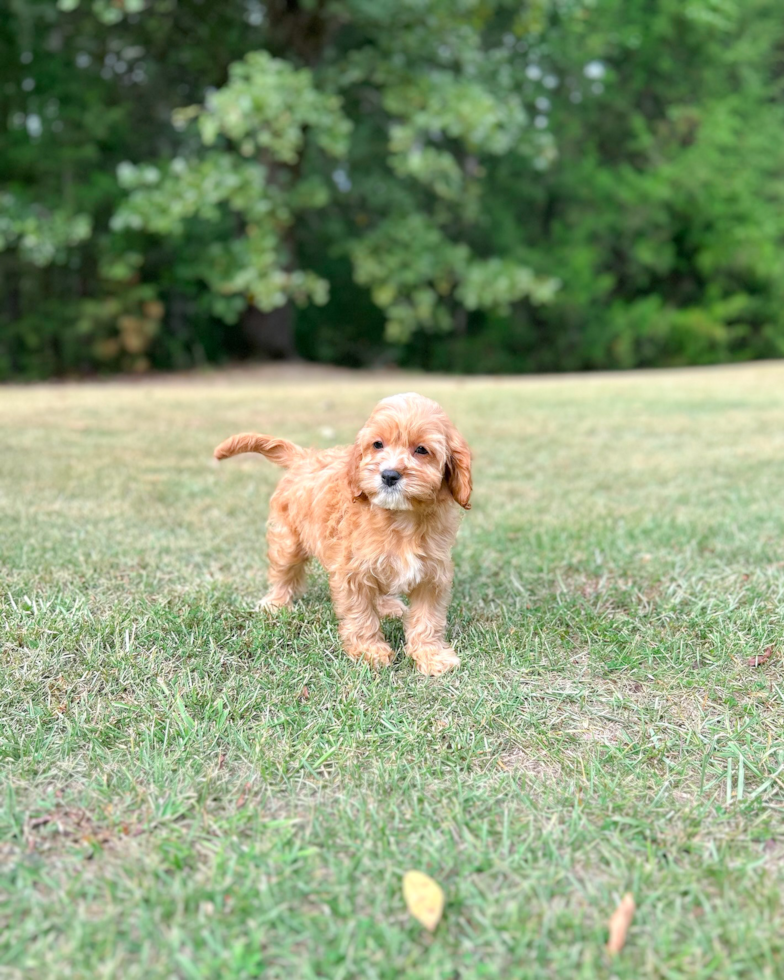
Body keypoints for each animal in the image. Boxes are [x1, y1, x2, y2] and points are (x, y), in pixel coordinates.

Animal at [213, 390, 472, 672]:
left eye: (422, 450)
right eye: (377, 445)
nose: (389, 475)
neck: (400, 518)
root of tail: (305, 457)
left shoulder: (432, 574)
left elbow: (428, 619)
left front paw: (431, 655)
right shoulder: (352, 571)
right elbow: (361, 615)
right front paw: (369, 650)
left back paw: (387, 605)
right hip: (288, 540)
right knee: (283, 571)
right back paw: (276, 602)